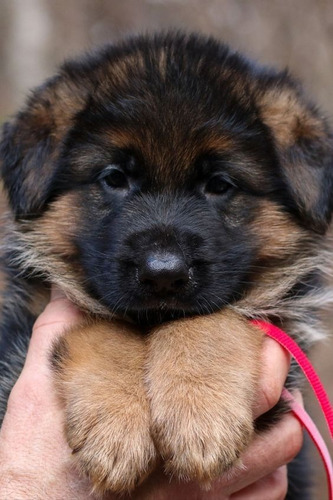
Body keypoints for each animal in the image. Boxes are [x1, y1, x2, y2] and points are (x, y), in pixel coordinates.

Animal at [0, 33, 332, 498]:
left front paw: (201, 412)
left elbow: (210, 319)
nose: (163, 273)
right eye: (114, 178)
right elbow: (106, 327)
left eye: (219, 185)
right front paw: (114, 425)